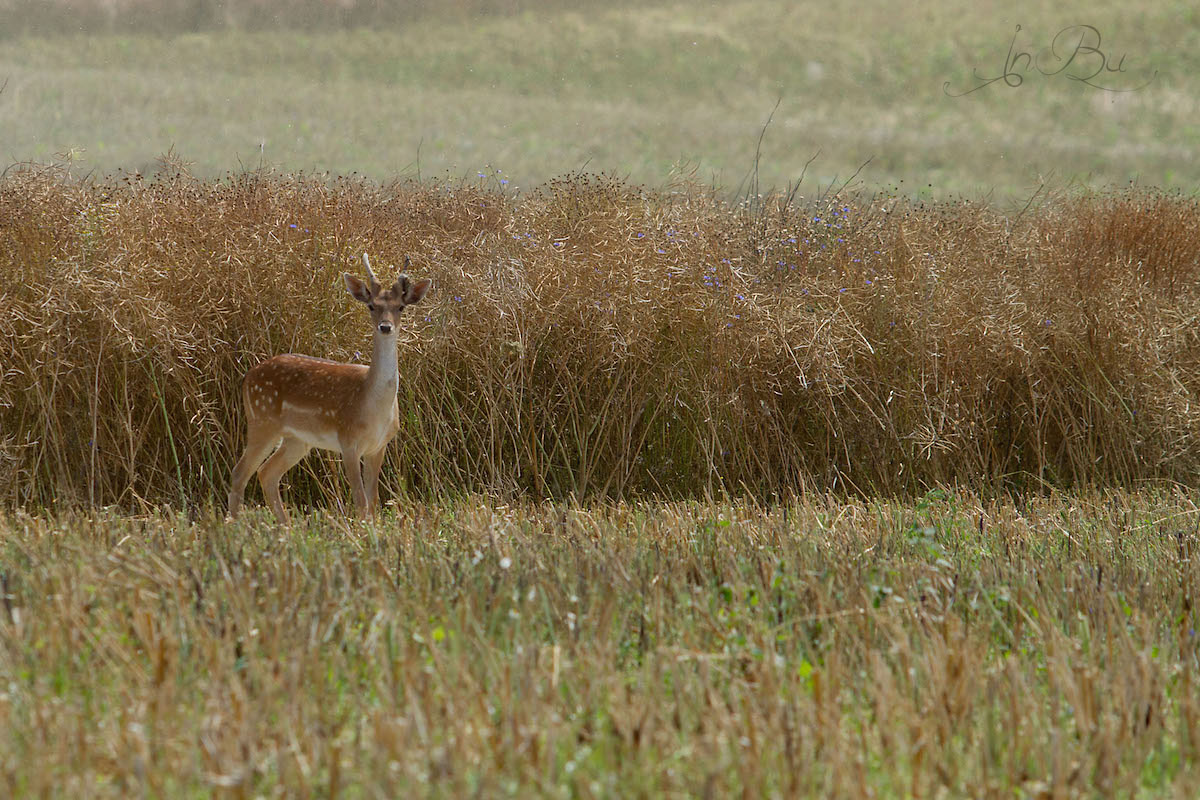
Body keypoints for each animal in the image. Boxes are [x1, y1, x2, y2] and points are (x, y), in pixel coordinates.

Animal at [228, 253, 432, 522]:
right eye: (371, 306)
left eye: (401, 307)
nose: (385, 327)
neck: (372, 404)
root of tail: (247, 376)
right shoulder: (348, 440)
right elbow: (360, 500)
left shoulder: (379, 445)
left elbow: (373, 500)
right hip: (262, 421)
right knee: (240, 472)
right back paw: (234, 524)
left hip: (296, 439)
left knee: (266, 472)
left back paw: (285, 526)